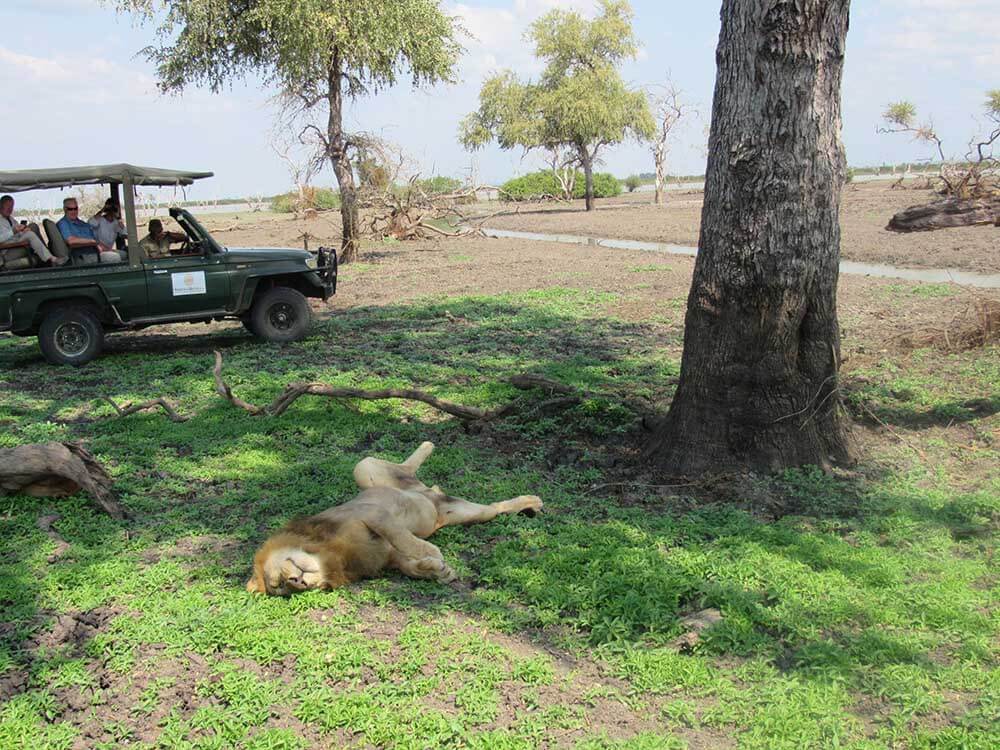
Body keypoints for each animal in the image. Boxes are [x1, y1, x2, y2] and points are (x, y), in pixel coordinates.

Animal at [246, 440, 544, 600]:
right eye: (282, 589)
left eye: (278, 579)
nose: (296, 583)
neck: (329, 555)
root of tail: (425, 489)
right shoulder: (388, 557)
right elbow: (409, 566)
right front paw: (437, 570)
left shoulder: (373, 515)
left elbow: (403, 538)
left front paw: (433, 552)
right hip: (463, 512)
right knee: (494, 507)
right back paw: (530, 504)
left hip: (363, 470)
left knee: (401, 465)